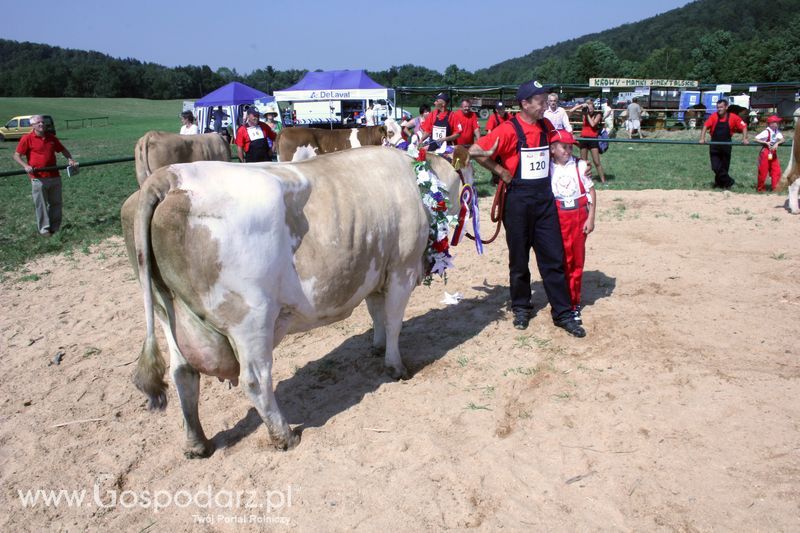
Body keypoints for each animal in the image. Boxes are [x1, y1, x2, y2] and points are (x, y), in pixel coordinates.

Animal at [121, 145, 490, 458]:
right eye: (470, 177)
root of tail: (170, 177)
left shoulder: (375, 269)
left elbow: (377, 314)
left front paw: (376, 345)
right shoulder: (402, 268)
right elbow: (395, 321)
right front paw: (395, 366)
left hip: (169, 314)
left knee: (183, 375)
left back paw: (197, 443)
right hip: (250, 317)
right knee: (255, 380)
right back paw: (284, 436)